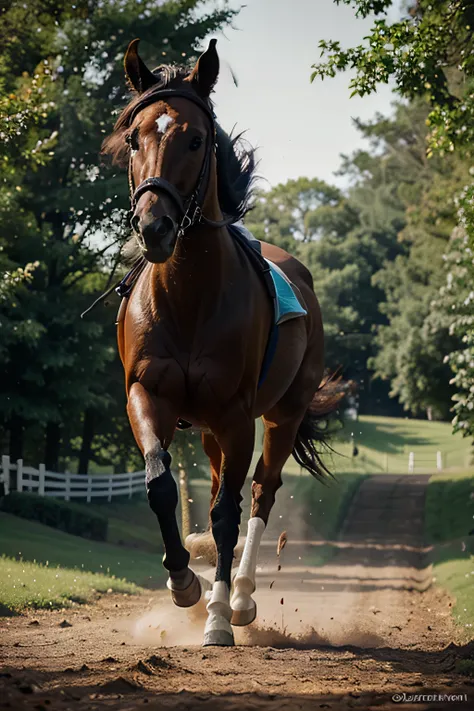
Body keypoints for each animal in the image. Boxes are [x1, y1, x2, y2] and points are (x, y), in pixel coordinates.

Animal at [102, 40, 342, 652]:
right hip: (210, 430)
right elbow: (161, 484)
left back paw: (239, 598)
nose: (154, 228)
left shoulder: (237, 414)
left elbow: (229, 514)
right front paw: (184, 581)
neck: (190, 300)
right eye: (134, 138)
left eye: (195, 140)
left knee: (259, 492)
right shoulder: (147, 395)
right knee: (215, 489)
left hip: (281, 414)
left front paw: (215, 616)